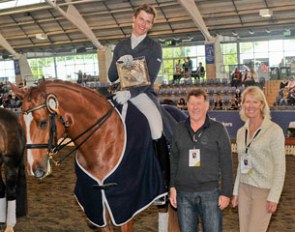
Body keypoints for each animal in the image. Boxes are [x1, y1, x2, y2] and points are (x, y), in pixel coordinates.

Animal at [10, 80, 175, 232]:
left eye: (43, 122)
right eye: (20, 124)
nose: (34, 170)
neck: (103, 141)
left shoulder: (126, 209)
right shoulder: (98, 208)